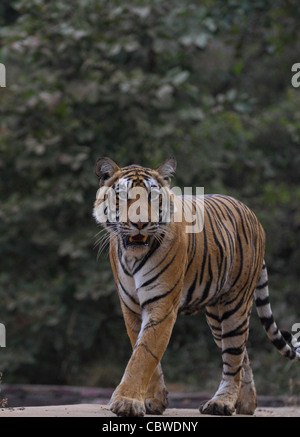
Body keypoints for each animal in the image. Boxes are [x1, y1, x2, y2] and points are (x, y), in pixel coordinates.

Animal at [92, 156, 298, 416]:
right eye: (124, 196)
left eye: (153, 197)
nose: (140, 223)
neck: (133, 257)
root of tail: (253, 216)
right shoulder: (131, 307)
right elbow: (145, 352)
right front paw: (154, 400)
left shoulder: (162, 305)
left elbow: (143, 354)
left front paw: (126, 401)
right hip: (216, 316)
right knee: (242, 355)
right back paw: (245, 404)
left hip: (235, 305)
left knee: (233, 357)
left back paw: (222, 403)